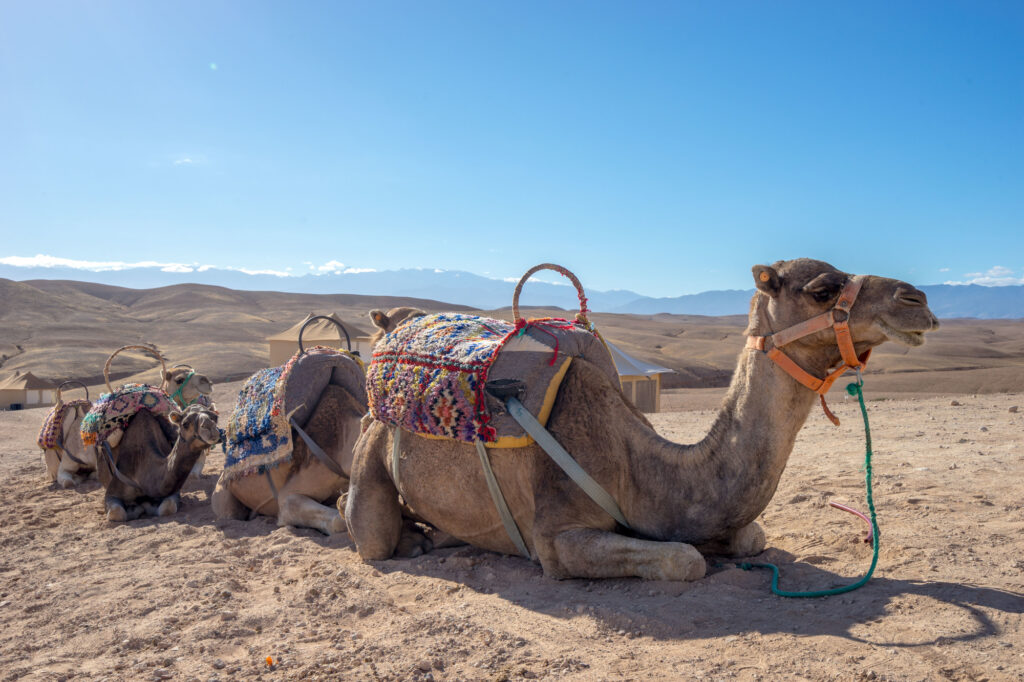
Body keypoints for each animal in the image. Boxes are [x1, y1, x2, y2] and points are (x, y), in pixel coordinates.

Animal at [345, 258, 940, 581]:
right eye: (822, 289)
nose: (918, 300)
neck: (643, 467)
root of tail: (387, 332)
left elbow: (749, 537)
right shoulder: (557, 540)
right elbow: (685, 560)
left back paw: (440, 536)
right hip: (372, 447)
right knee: (367, 533)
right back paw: (408, 540)